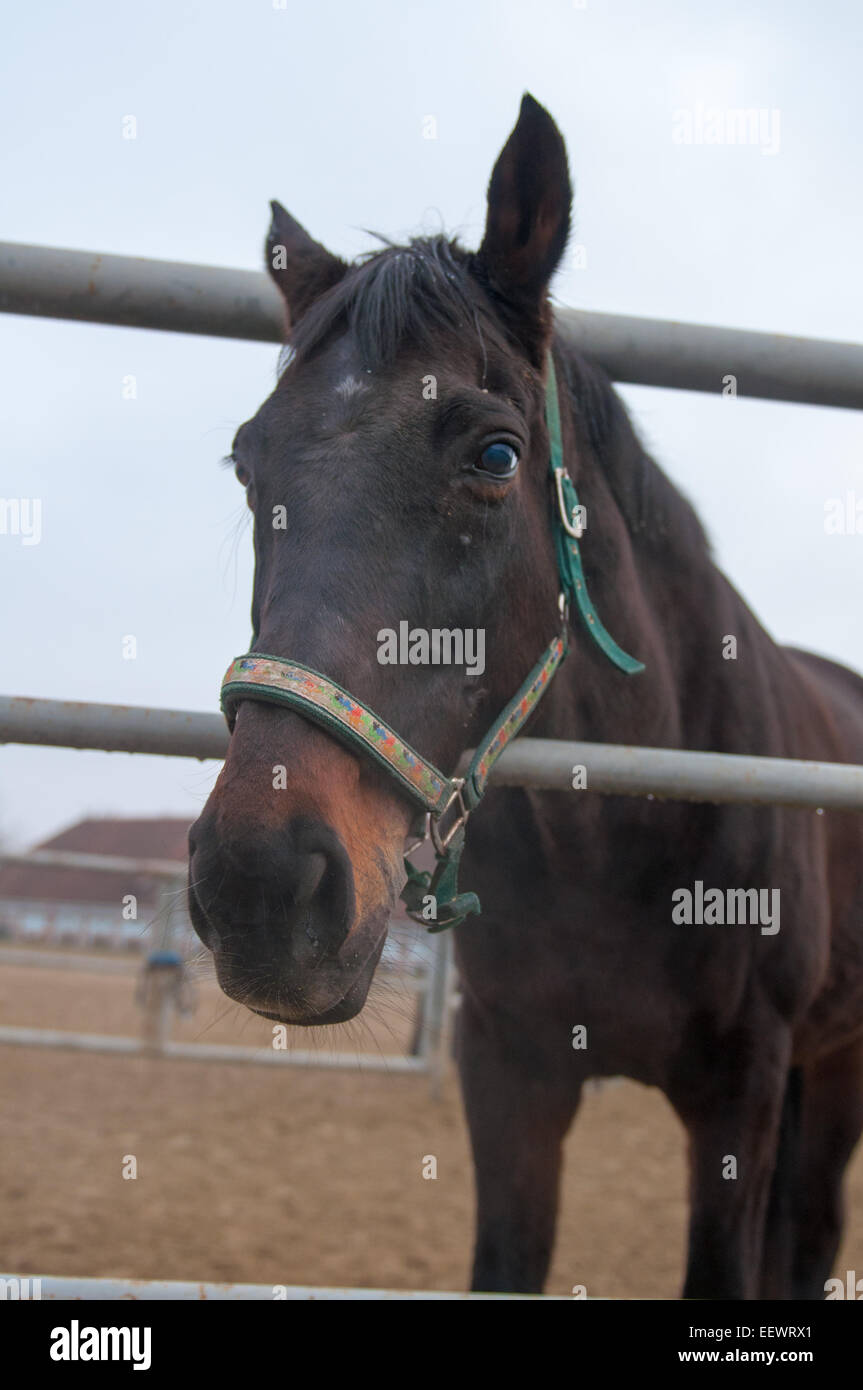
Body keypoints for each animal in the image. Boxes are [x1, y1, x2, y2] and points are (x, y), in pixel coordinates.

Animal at [188, 92, 861, 1295]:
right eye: (247, 465)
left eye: (495, 454)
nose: (258, 888)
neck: (630, 835)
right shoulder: (507, 1074)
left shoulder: (742, 1089)